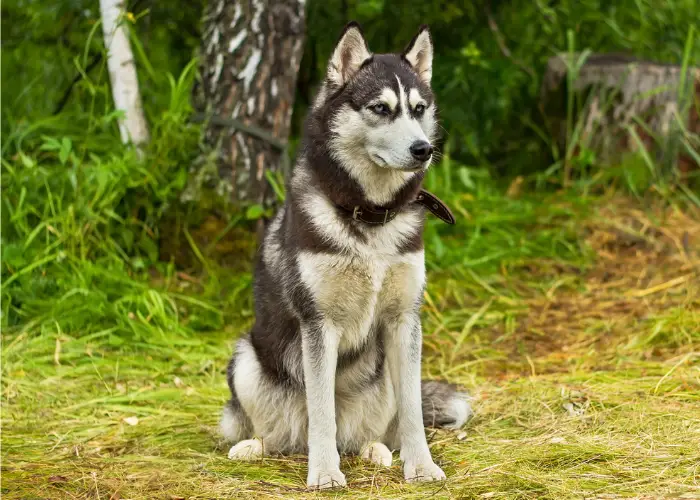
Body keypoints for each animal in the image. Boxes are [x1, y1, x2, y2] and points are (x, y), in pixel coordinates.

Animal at [221, 22, 474, 488]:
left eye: (418, 109)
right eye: (380, 108)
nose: (424, 149)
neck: (370, 215)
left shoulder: (404, 320)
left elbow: (412, 412)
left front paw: (421, 466)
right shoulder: (319, 325)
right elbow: (322, 413)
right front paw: (324, 474)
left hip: (382, 376)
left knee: (368, 432)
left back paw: (377, 451)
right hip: (247, 359)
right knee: (278, 432)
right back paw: (253, 447)